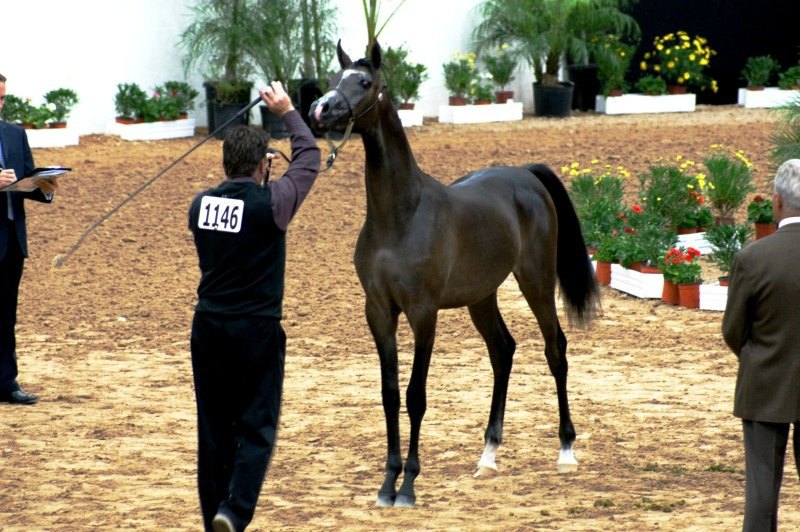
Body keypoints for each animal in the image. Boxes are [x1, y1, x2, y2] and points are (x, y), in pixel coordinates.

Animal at [310, 41, 596, 508]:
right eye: (333, 80)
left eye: (365, 82)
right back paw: (489, 455)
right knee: (503, 351)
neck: (400, 216)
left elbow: (416, 396)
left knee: (556, 349)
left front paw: (408, 485)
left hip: (535, 282)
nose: (320, 109)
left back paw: (566, 450)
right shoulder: (379, 312)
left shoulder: (423, 313)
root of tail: (525, 175)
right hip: (482, 296)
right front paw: (387, 484)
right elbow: (389, 394)